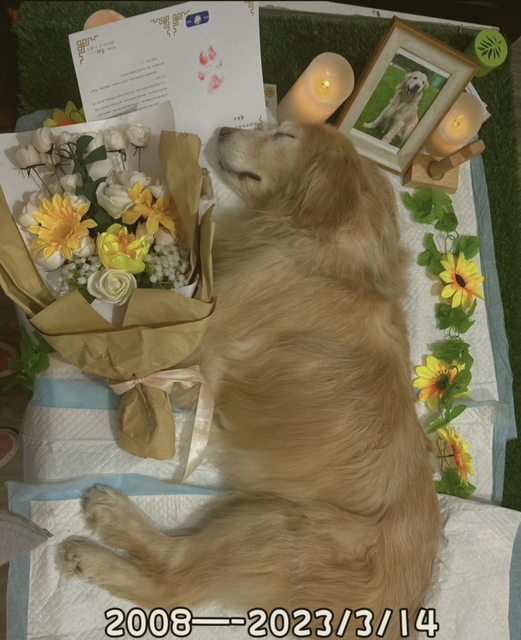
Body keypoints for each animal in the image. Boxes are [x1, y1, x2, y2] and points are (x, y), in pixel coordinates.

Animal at [59, 122, 441, 639]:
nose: (220, 129)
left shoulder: (206, 345)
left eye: (284, 135)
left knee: (174, 579)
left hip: (270, 522)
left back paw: (106, 530)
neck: (331, 250)